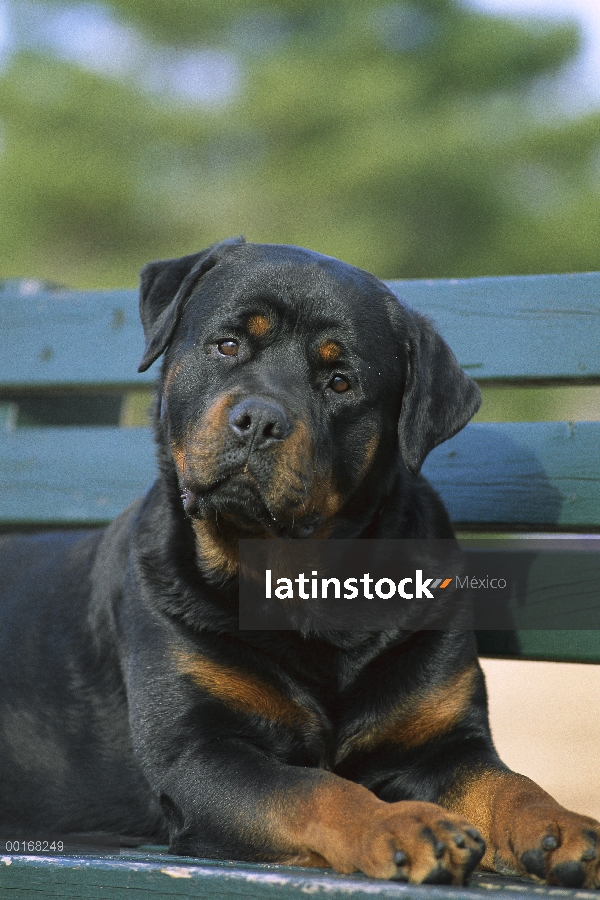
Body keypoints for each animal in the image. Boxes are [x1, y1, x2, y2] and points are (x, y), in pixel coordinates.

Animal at [1, 239, 600, 884]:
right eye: (228, 345)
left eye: (339, 381)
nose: (260, 420)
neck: (306, 586)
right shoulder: (200, 751)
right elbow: (313, 787)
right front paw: (402, 824)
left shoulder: (447, 744)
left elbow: (509, 784)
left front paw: (563, 824)